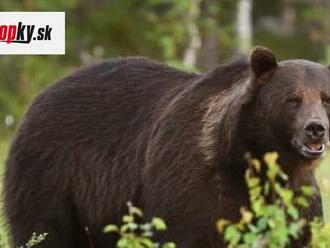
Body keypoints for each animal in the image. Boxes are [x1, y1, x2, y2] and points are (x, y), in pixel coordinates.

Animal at [3, 46, 328, 246]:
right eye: (292, 98)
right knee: (43, 231)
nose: (316, 129)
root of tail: (42, 94)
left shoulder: (297, 203)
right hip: (51, 176)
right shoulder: (192, 190)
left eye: (326, 97)